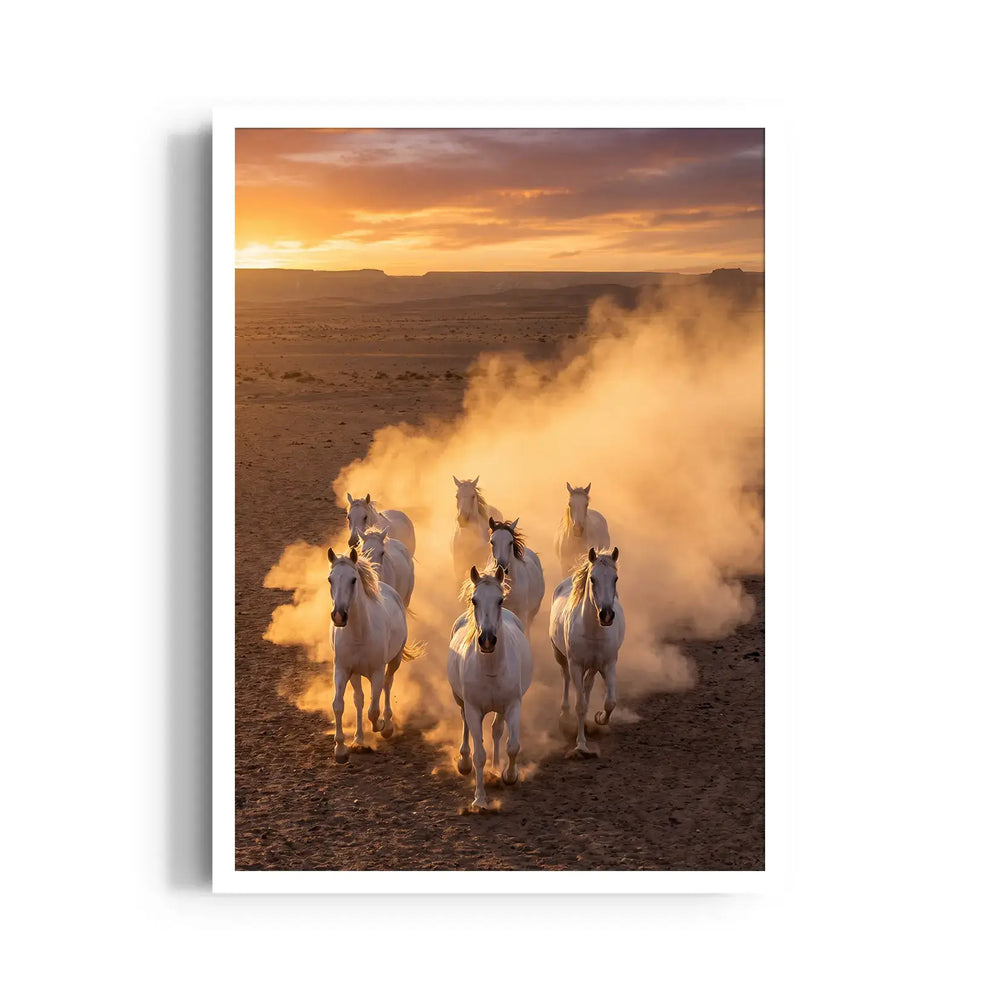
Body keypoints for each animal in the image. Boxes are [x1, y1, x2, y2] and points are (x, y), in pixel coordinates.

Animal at [327, 546, 423, 763]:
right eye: (330, 579)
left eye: (353, 579)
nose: (339, 616)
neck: (359, 633)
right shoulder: (343, 670)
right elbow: (339, 704)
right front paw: (341, 749)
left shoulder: (377, 672)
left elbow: (373, 710)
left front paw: (380, 725)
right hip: (355, 674)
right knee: (359, 699)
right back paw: (359, 739)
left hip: (394, 661)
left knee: (387, 685)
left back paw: (387, 725)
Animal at [447, 565, 533, 809]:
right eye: (474, 600)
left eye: (500, 600)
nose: (487, 640)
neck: (491, 668)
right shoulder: (473, 708)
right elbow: (479, 755)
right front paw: (480, 800)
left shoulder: (513, 705)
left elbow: (512, 745)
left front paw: (509, 776)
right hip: (461, 701)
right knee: (465, 724)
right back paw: (464, 762)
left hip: (501, 708)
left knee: (497, 730)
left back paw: (495, 769)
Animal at [548, 546, 625, 758]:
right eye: (593, 579)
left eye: (615, 578)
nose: (606, 614)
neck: (593, 630)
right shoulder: (576, 665)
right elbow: (580, 706)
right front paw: (581, 745)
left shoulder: (608, 664)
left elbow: (610, 702)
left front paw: (600, 718)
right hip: (561, 657)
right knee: (566, 678)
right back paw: (564, 713)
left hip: (593, 666)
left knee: (587, 686)